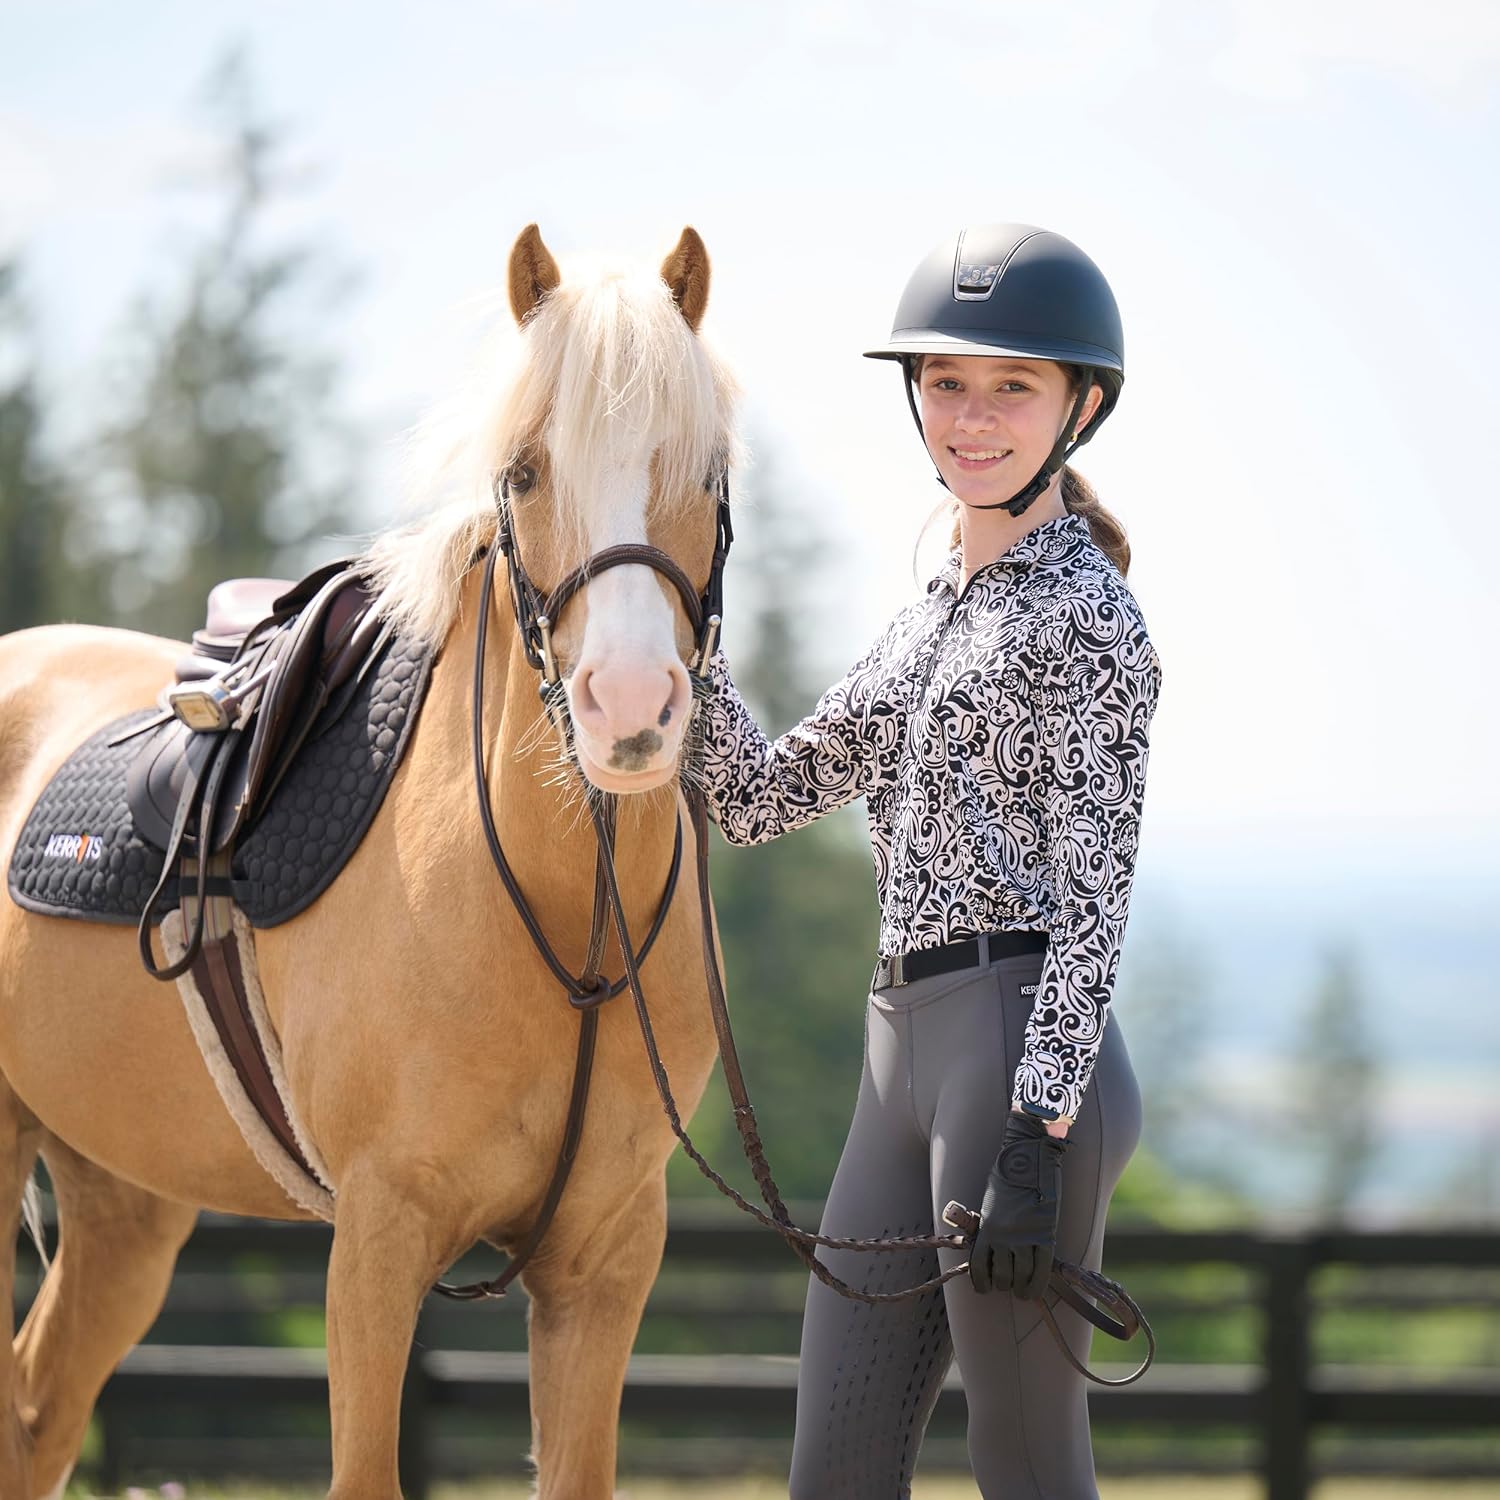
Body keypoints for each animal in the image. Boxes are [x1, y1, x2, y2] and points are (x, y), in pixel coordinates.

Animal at [0, 223, 740, 1499]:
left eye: (703, 472)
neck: (558, 916)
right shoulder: (380, 1239)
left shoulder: (606, 1253)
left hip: (120, 1201)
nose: (630, 705)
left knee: (38, 1411)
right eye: (525, 470)